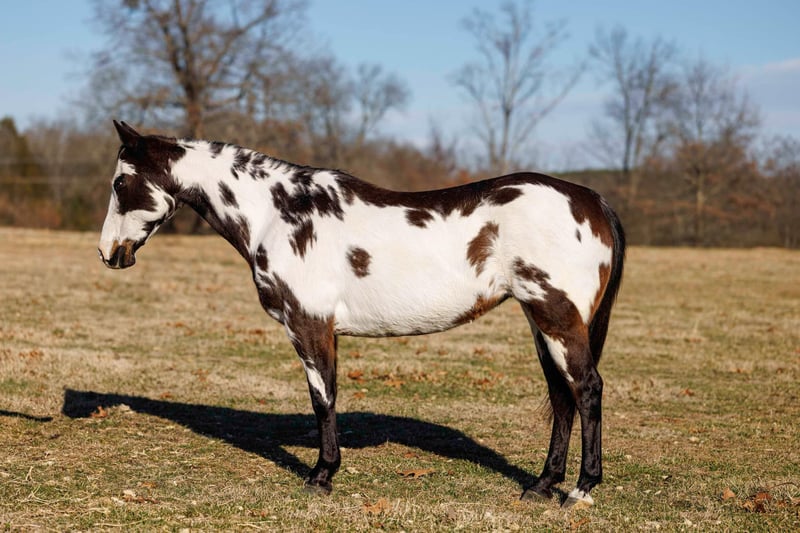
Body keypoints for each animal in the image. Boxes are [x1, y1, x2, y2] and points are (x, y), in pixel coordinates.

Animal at [98, 121, 625, 508]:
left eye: (121, 183)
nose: (108, 253)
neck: (277, 213)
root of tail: (591, 199)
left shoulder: (309, 323)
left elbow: (323, 399)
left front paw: (321, 476)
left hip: (556, 316)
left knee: (586, 389)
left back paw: (580, 490)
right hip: (543, 324)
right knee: (561, 396)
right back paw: (541, 486)